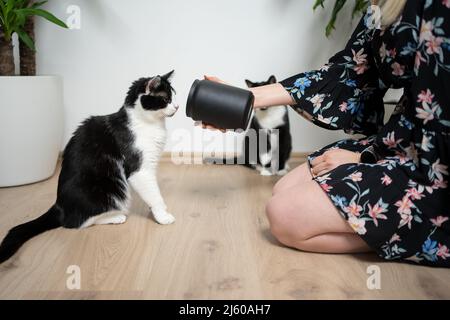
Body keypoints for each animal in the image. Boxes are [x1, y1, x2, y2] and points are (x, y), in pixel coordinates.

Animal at [0, 70, 179, 262]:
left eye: (175, 97)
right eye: (166, 99)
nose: (177, 106)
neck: (148, 123)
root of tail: (59, 205)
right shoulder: (140, 169)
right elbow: (154, 194)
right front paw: (163, 216)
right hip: (110, 190)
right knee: (76, 222)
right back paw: (116, 217)